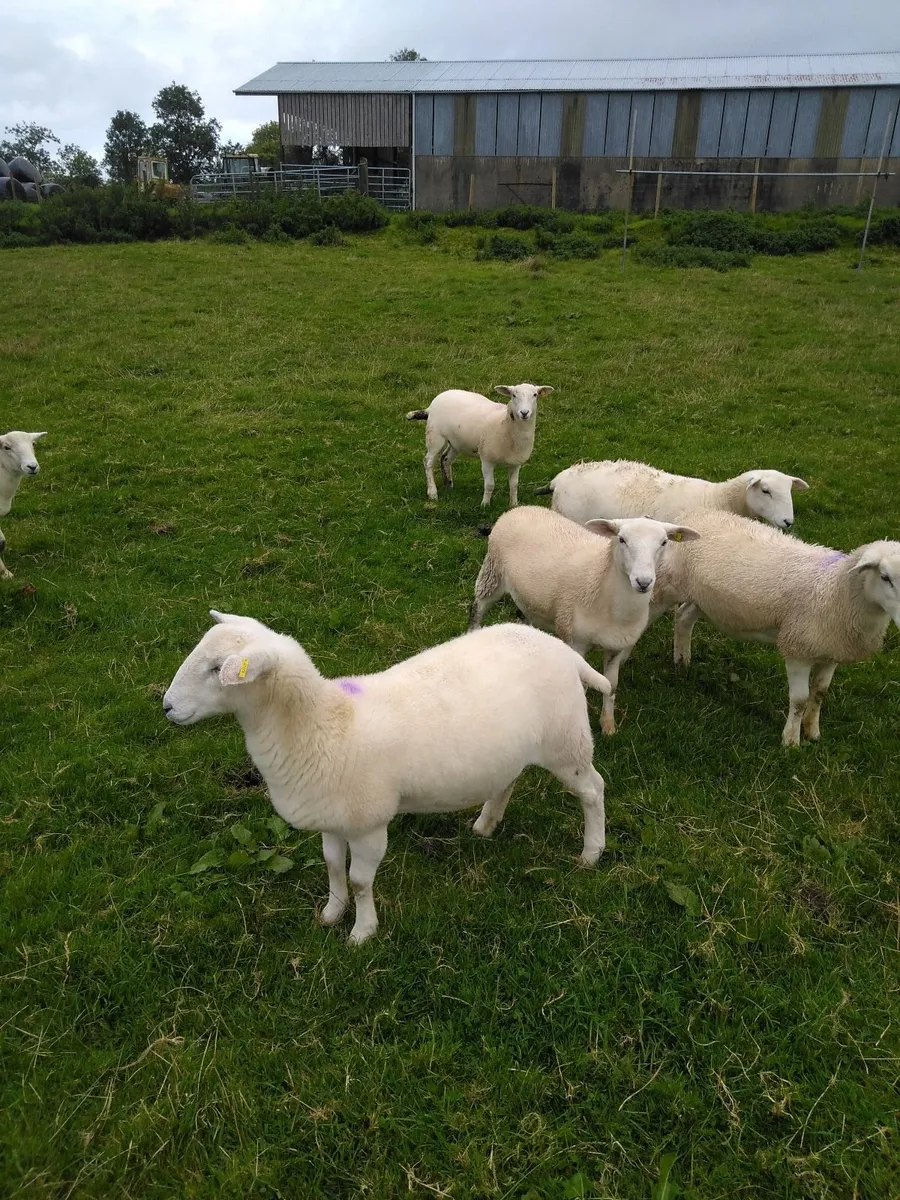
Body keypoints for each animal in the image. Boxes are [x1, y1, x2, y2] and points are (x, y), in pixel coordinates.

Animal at [163, 611, 612, 945]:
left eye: (217, 669)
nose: (166, 706)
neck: (323, 724)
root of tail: (562, 650)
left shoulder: (368, 824)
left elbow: (360, 881)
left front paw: (362, 932)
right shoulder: (333, 817)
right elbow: (332, 867)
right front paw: (331, 913)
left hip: (566, 741)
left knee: (593, 790)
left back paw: (591, 853)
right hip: (514, 749)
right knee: (508, 780)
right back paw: (486, 824)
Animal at [406, 383, 553, 506]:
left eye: (535, 395)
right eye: (513, 395)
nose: (524, 413)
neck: (504, 424)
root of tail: (432, 404)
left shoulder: (515, 463)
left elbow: (514, 485)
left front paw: (514, 505)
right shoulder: (487, 459)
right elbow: (490, 485)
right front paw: (485, 505)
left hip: (456, 442)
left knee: (445, 459)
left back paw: (449, 485)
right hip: (435, 437)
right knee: (428, 462)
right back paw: (432, 492)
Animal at [469, 506, 700, 735]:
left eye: (664, 542)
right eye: (621, 539)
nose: (643, 582)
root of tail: (521, 508)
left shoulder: (617, 646)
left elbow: (612, 685)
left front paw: (608, 726)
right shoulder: (575, 641)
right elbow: (581, 684)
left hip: (528, 599)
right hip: (492, 574)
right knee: (477, 611)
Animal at [650, 508, 900, 746]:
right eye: (885, 577)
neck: (833, 588)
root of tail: (694, 515)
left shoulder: (831, 650)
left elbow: (819, 693)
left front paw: (813, 732)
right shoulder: (798, 648)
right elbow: (800, 699)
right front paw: (790, 741)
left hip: (706, 598)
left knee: (684, 617)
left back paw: (682, 662)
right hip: (667, 584)